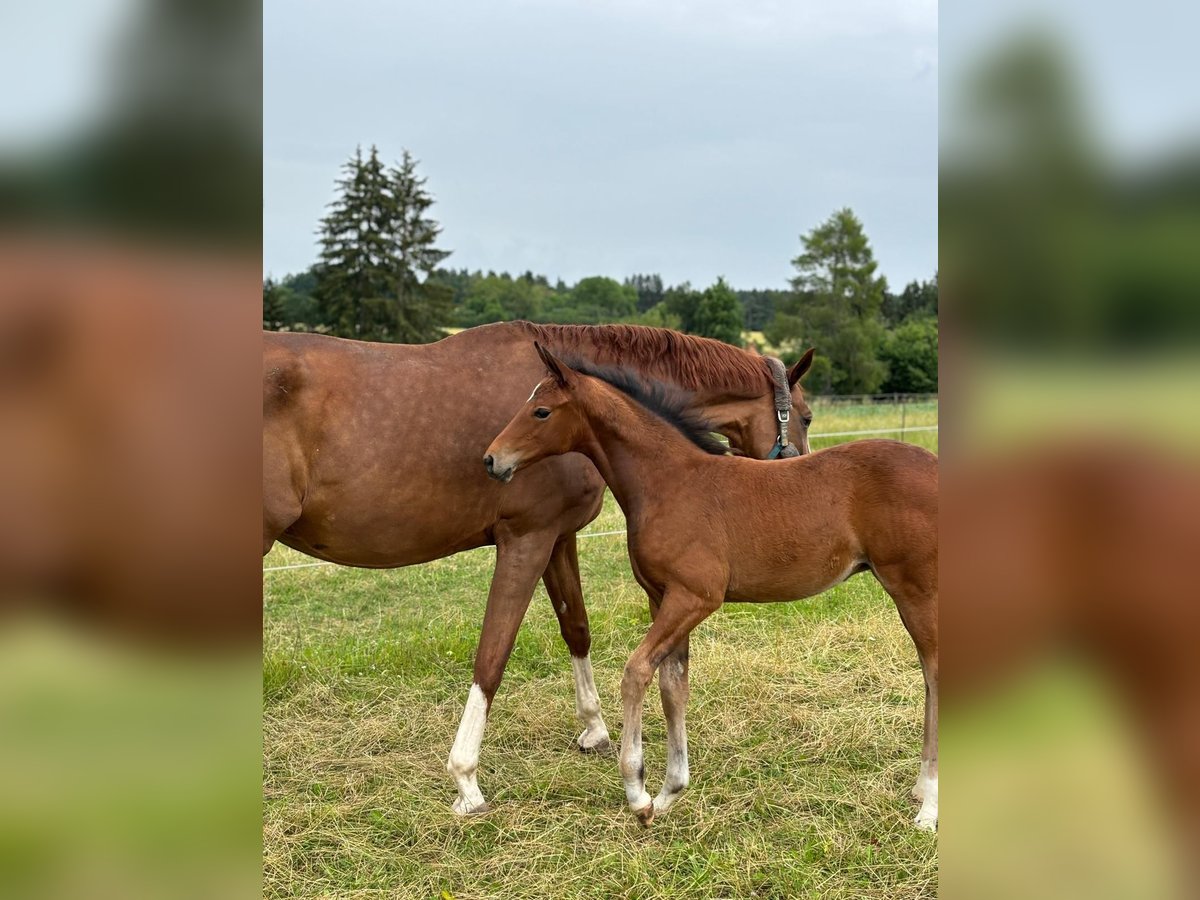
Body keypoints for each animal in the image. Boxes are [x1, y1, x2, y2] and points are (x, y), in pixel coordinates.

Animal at [258, 321, 811, 816]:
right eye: (805, 417)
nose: (801, 471)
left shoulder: (558, 537)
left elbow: (576, 627)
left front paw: (594, 729)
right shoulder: (528, 539)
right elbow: (492, 655)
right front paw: (467, 781)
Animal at [484, 345, 936, 830]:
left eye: (541, 411)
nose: (491, 460)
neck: (669, 482)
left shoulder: (695, 597)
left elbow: (636, 672)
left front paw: (637, 792)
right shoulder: (662, 599)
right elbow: (673, 685)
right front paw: (668, 792)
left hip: (917, 591)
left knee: (936, 675)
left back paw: (929, 807)